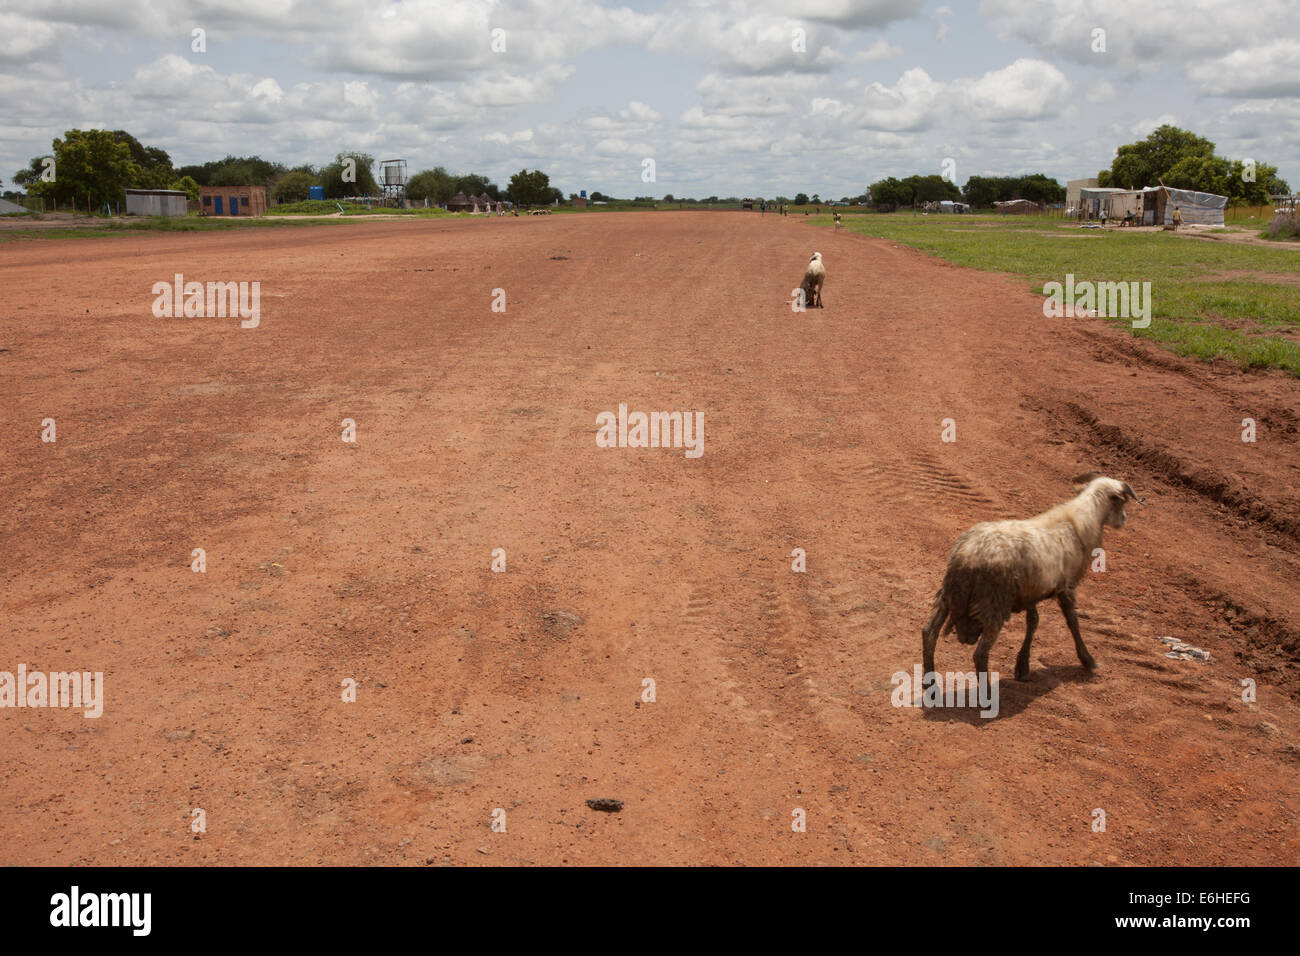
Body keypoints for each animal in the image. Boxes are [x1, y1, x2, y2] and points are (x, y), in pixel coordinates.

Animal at [920, 473, 1144, 686]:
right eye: (1122, 502)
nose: (1124, 519)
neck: (1080, 520)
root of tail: (968, 555)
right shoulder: (1066, 586)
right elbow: (1073, 621)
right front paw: (1087, 659)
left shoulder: (1031, 591)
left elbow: (1033, 622)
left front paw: (1022, 667)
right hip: (993, 603)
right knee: (980, 654)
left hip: (947, 596)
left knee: (928, 633)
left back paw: (929, 683)